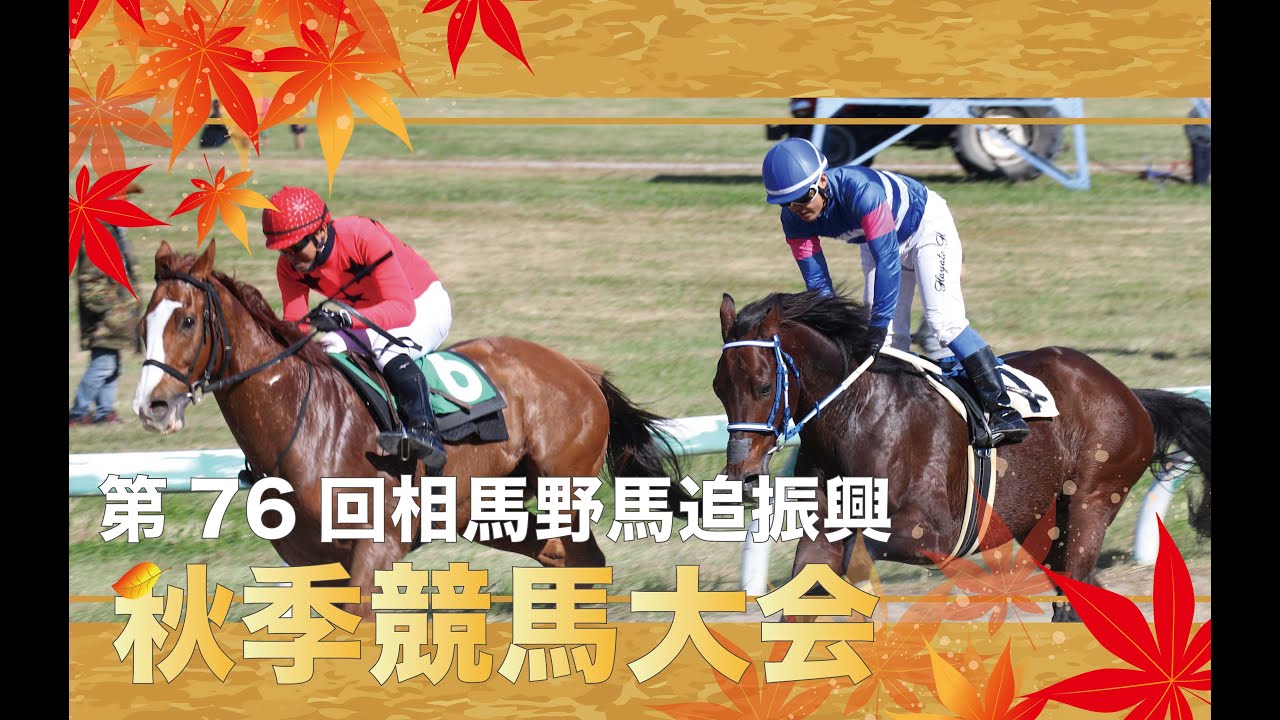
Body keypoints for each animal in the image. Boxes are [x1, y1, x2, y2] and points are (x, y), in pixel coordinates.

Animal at [132, 239, 686, 618]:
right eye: (143, 325)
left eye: (187, 321)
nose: (151, 405)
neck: (305, 421)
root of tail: (580, 370)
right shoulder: (308, 562)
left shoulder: (377, 546)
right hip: (484, 509)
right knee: (562, 556)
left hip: (561, 489)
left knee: (582, 557)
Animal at [713, 290, 1211, 621]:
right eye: (719, 387)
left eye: (763, 386)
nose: (743, 475)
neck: (857, 414)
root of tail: (1131, 395)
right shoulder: (824, 528)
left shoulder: (935, 533)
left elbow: (869, 551)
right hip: (1044, 519)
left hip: (1091, 500)